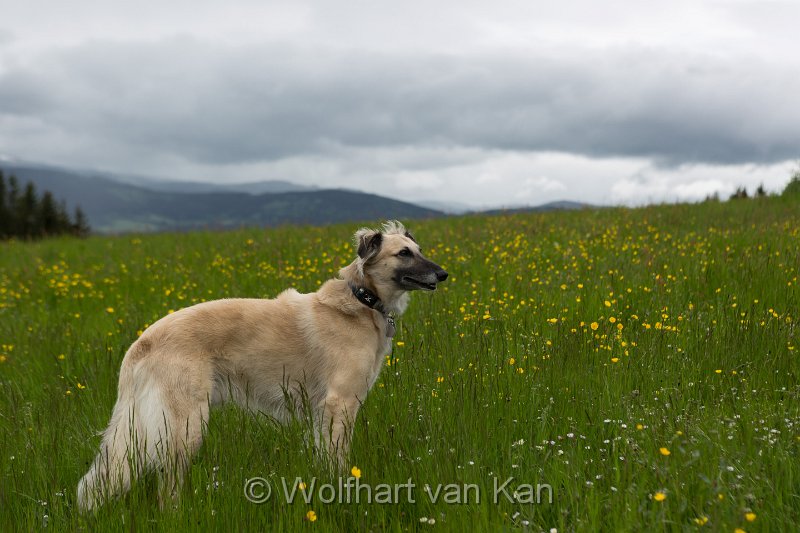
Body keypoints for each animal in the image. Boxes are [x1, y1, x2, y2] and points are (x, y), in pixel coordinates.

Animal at [77, 221, 446, 512]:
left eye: (419, 249)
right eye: (404, 254)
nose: (444, 274)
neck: (360, 301)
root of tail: (143, 341)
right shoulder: (339, 403)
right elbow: (337, 459)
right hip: (185, 425)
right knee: (167, 488)